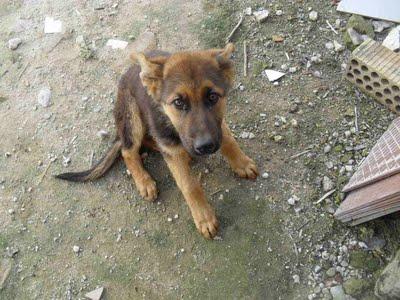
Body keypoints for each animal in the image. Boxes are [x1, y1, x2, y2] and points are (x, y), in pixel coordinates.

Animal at [56, 43, 260, 239]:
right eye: (178, 102)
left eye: (212, 97)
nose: (205, 146)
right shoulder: (173, 149)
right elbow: (189, 185)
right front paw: (204, 217)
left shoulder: (217, 126)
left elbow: (228, 139)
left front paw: (241, 163)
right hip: (132, 116)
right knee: (128, 151)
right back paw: (144, 181)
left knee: (150, 141)